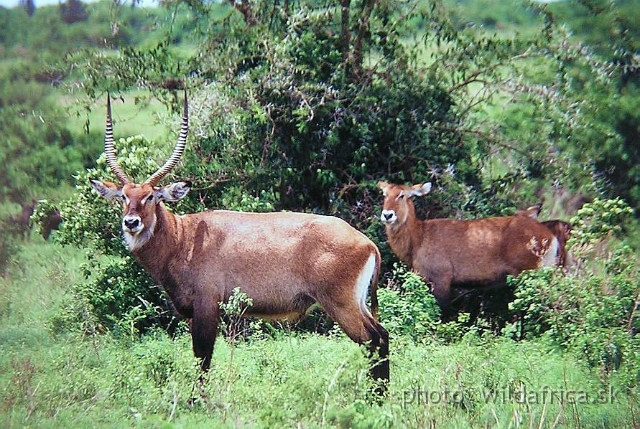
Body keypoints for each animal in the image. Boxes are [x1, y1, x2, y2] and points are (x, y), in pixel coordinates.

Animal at [90, 93, 390, 392]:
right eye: (123, 196)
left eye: (151, 196)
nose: (131, 223)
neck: (184, 238)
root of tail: (367, 243)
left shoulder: (207, 307)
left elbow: (203, 358)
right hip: (357, 303)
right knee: (382, 336)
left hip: (342, 305)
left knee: (374, 340)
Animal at [378, 180, 556, 318]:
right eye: (385, 194)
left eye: (402, 195)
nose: (387, 215)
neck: (419, 237)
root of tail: (551, 237)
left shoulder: (442, 279)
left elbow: (443, 314)